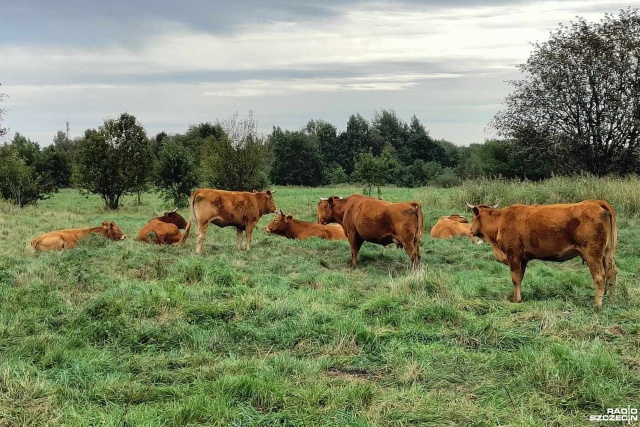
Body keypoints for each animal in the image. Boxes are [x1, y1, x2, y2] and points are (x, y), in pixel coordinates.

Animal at [468, 201, 616, 308]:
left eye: (473, 217)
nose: (470, 230)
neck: (500, 221)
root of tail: (595, 202)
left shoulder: (513, 254)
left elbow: (515, 278)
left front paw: (516, 299)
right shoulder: (523, 258)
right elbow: (520, 278)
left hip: (593, 255)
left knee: (599, 277)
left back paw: (597, 305)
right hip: (608, 253)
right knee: (612, 274)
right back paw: (610, 298)